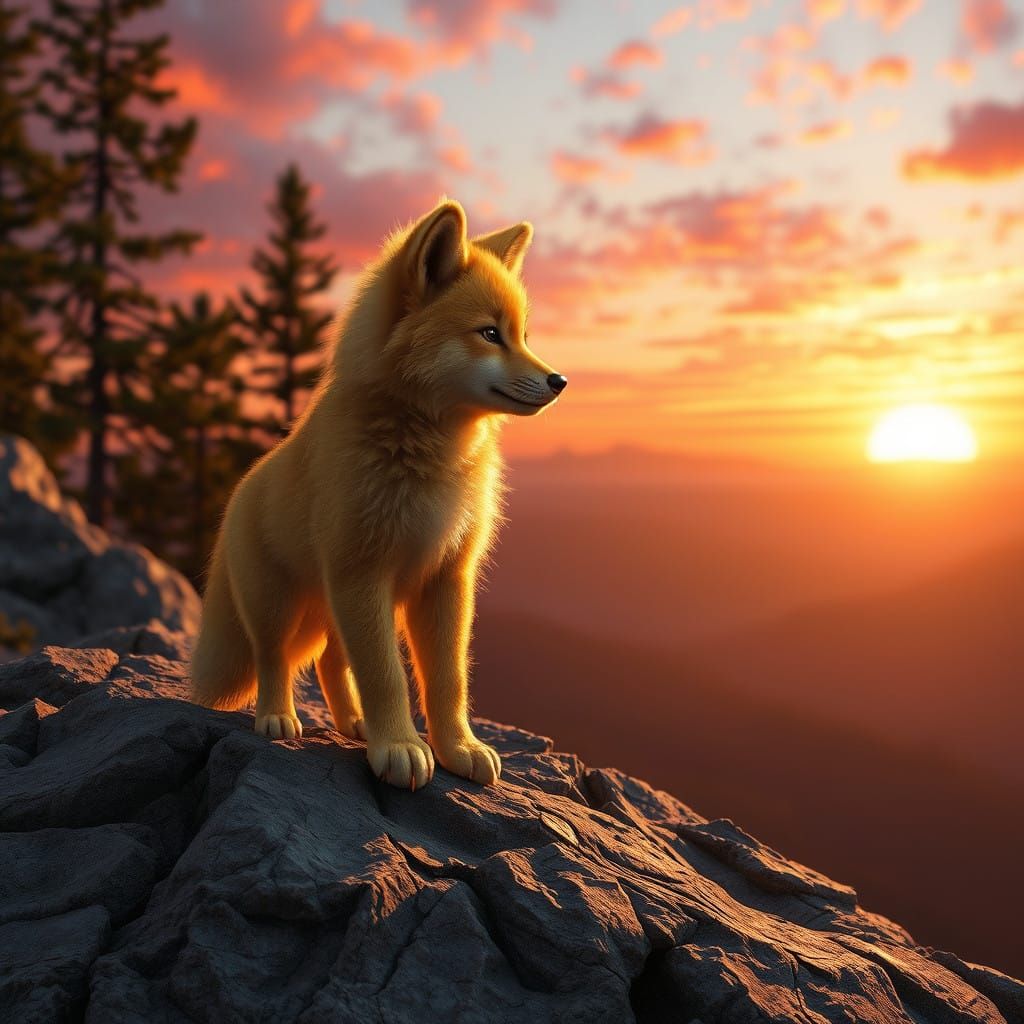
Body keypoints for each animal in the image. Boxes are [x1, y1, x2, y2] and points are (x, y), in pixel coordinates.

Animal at [190, 199, 566, 790]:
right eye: (489, 333)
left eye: (523, 334)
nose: (559, 381)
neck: (427, 457)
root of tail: (240, 491)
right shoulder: (362, 573)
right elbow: (387, 676)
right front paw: (401, 747)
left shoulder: (445, 580)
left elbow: (448, 681)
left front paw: (457, 748)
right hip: (281, 605)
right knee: (275, 660)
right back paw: (278, 717)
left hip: (336, 609)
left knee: (329, 663)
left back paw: (354, 725)